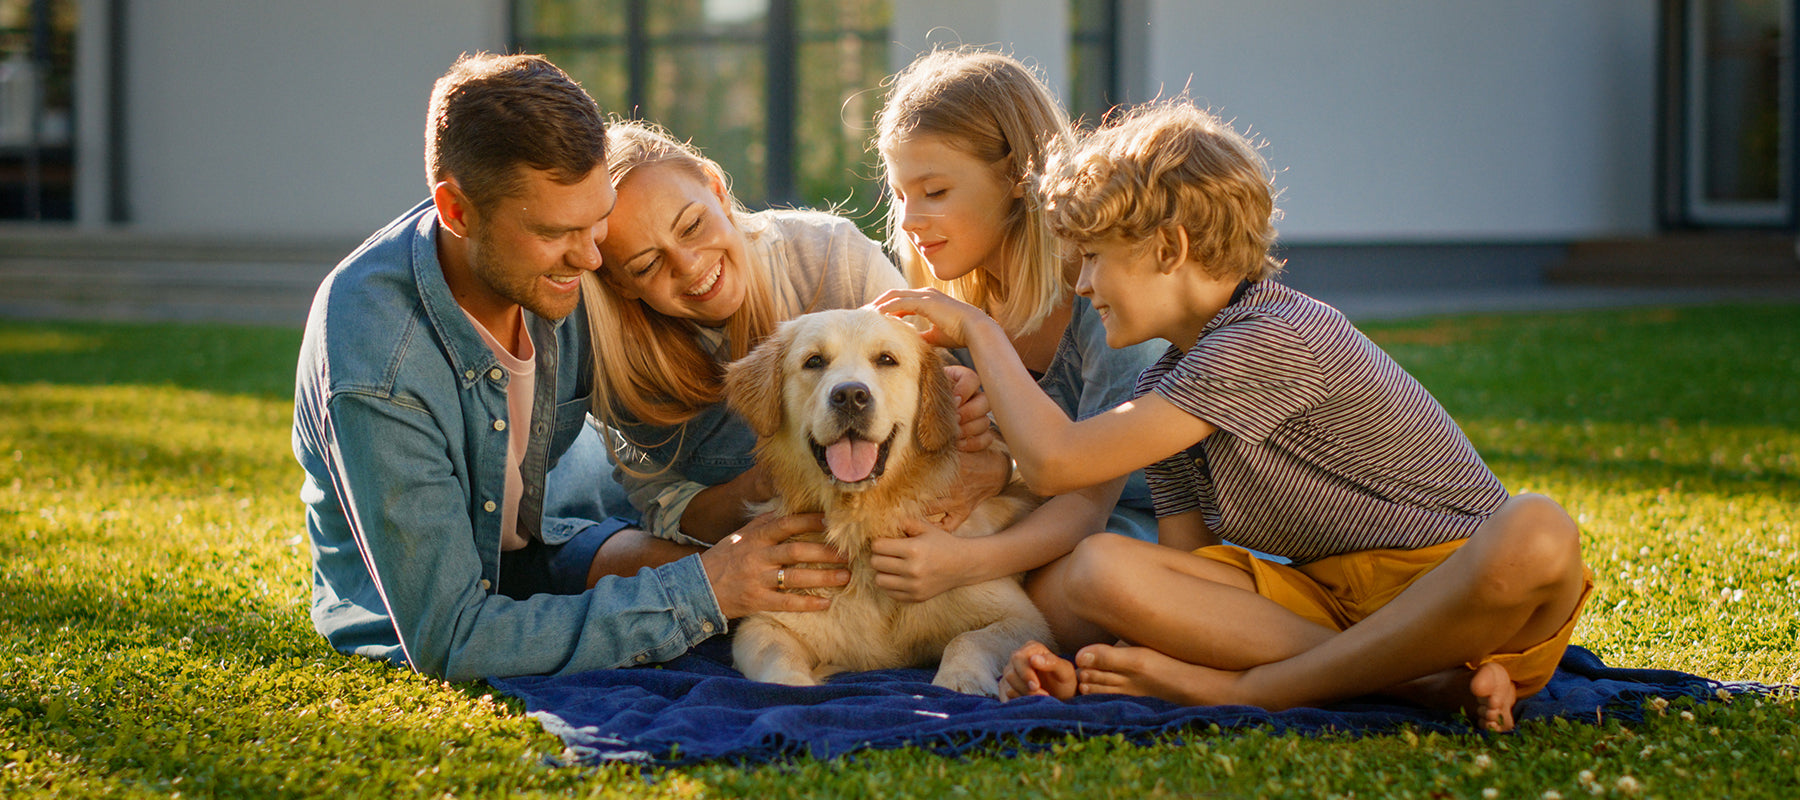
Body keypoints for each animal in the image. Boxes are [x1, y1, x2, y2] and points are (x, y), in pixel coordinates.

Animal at [720, 306, 1051, 695]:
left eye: (886, 360)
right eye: (814, 361)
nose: (850, 396)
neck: (863, 525)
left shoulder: (1025, 619)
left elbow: (966, 639)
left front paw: (960, 679)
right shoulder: (766, 623)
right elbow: (779, 657)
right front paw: (792, 686)